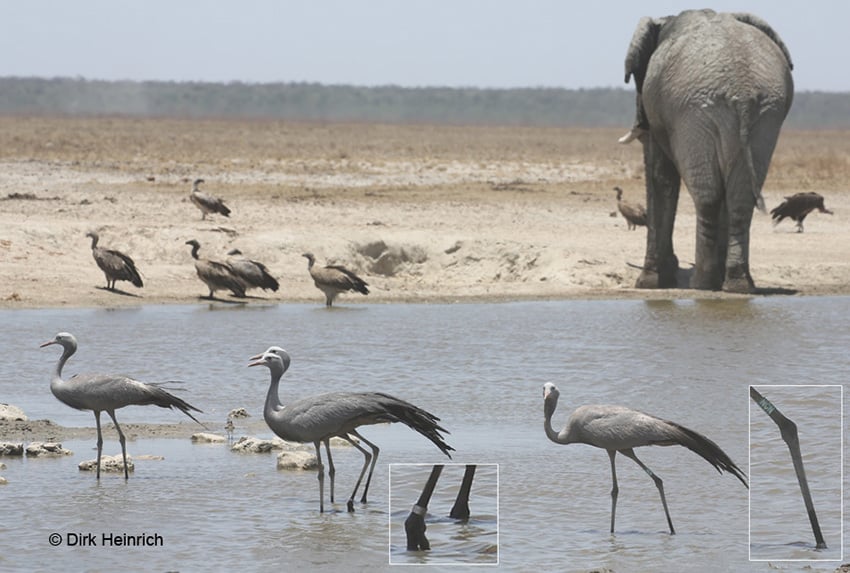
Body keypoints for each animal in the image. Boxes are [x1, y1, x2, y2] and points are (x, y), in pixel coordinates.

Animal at [620, 10, 792, 290]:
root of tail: (742, 91)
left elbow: (660, 176)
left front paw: (649, 282)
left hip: (694, 112)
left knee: (708, 196)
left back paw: (702, 282)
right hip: (767, 115)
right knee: (740, 196)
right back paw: (738, 284)